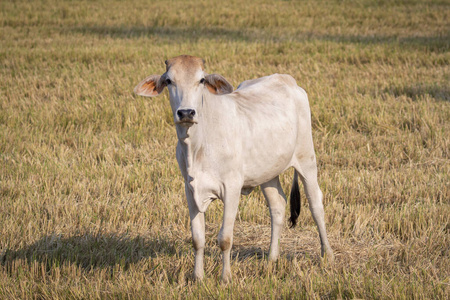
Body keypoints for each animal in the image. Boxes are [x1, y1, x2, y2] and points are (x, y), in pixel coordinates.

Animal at [134, 55, 334, 282]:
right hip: (268, 172)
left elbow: (225, 238)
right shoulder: (190, 189)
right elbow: (197, 238)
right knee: (278, 206)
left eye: (201, 80)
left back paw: (327, 255)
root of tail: (287, 79)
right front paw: (198, 277)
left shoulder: (232, 188)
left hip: (306, 158)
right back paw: (271, 259)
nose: (186, 112)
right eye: (168, 80)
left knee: (316, 204)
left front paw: (225, 278)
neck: (197, 146)